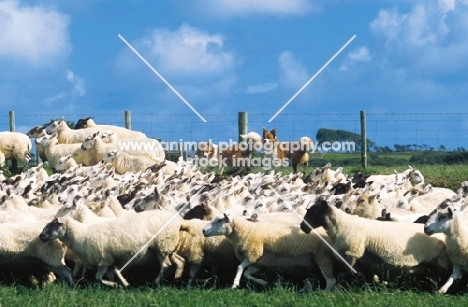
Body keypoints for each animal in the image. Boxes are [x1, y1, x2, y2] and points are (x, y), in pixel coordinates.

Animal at [202, 212, 336, 292]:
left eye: (220, 220)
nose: (203, 230)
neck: (246, 230)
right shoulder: (257, 262)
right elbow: (247, 273)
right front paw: (263, 282)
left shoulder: (253, 253)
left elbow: (240, 268)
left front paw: (234, 284)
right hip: (312, 262)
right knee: (315, 278)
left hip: (323, 258)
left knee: (331, 280)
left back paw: (323, 293)